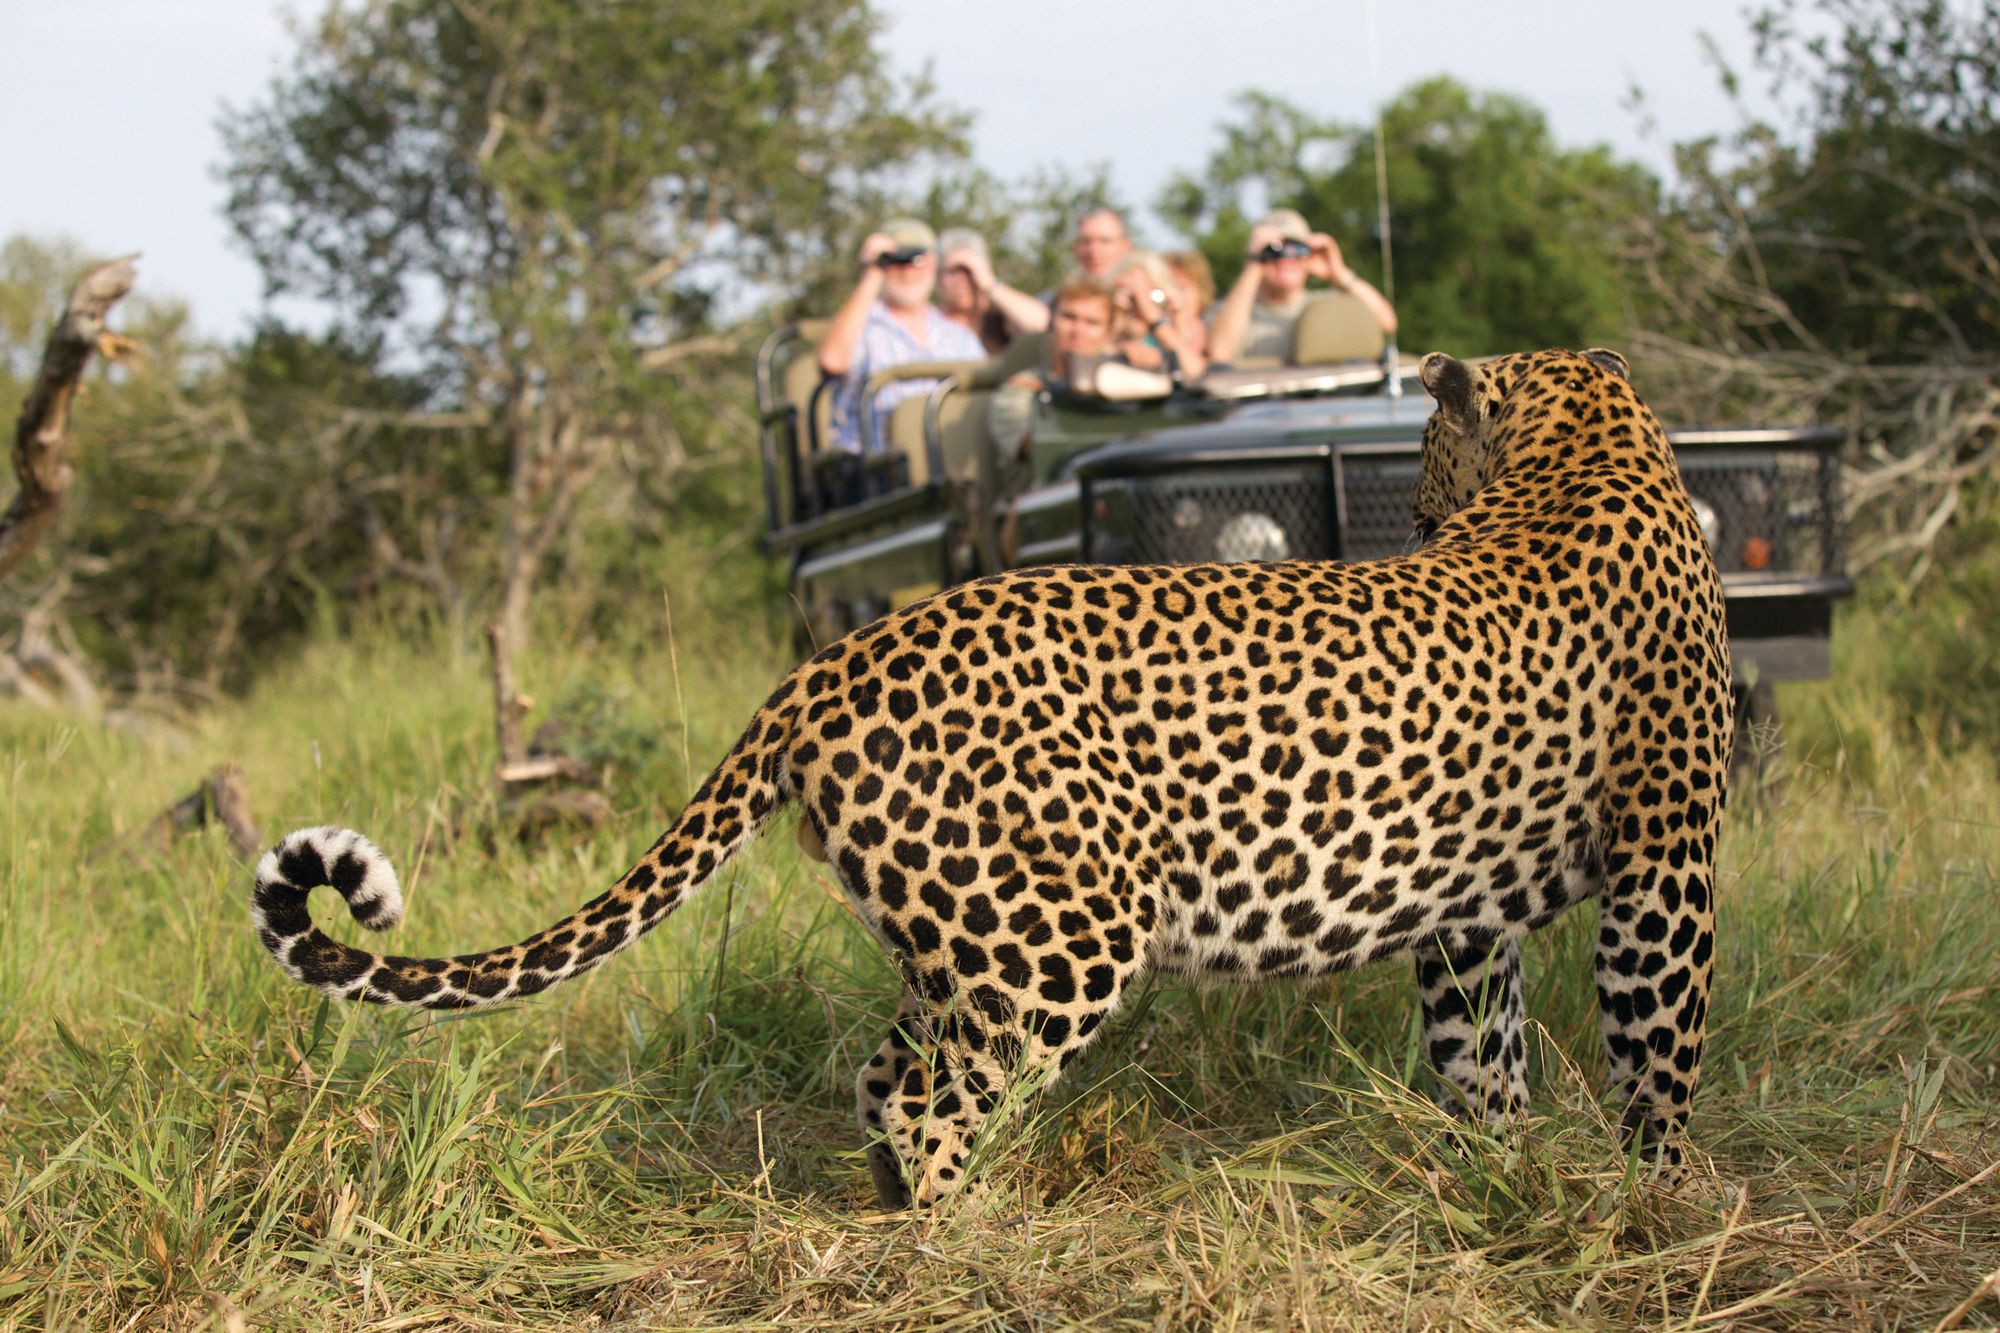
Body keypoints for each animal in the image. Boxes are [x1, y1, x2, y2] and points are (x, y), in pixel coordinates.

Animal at [250, 342, 1728, 1200]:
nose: (1409, 513)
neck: (1589, 446)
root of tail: (831, 660)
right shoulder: (1669, 861)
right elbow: (1658, 1048)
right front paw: (1663, 1205)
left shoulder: (1468, 913)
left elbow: (1488, 1060)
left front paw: (1507, 1183)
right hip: (1058, 940)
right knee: (924, 1100)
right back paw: (965, 1244)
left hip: (961, 929)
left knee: (881, 1077)